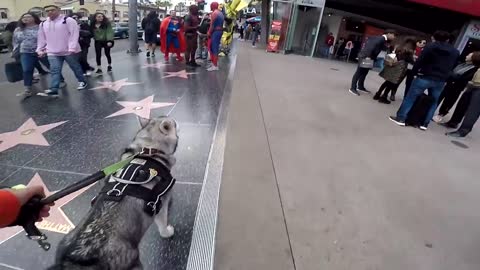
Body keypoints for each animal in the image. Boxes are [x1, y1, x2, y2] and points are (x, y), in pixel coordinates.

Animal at [48, 117, 178, 270]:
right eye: (174, 124)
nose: (175, 121)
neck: (149, 149)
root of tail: (76, 258)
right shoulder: (160, 203)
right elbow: (162, 221)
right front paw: (167, 231)